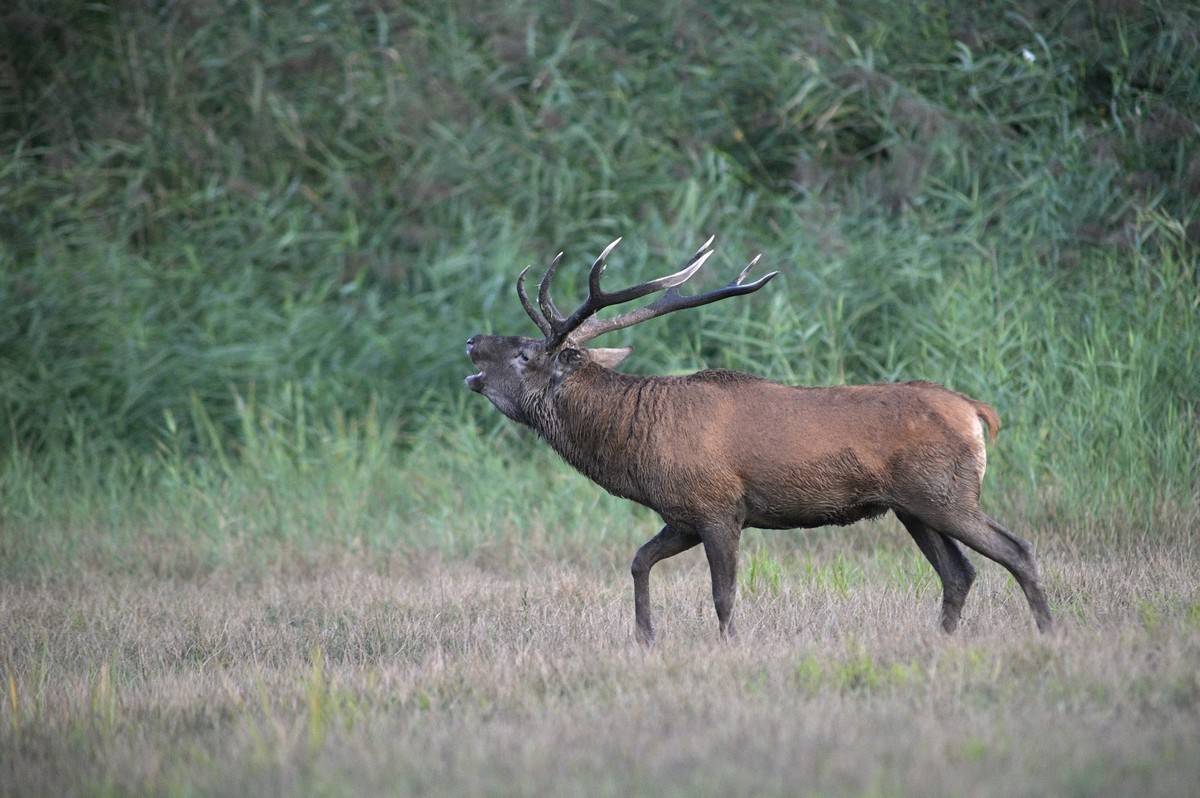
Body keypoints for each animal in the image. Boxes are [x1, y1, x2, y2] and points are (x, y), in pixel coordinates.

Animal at [465, 236, 1051, 643]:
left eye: (524, 354)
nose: (472, 340)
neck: (635, 451)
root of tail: (976, 412)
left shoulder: (718, 507)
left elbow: (724, 596)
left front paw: (729, 646)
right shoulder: (682, 515)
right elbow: (638, 560)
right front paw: (644, 639)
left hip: (946, 494)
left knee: (1016, 549)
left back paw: (1049, 631)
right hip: (913, 507)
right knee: (959, 573)